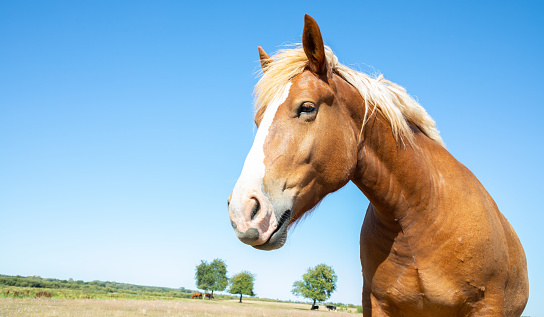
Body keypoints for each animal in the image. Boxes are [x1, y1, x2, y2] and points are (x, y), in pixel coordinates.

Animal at [227, 13, 528, 314]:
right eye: (258, 120)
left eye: (307, 107)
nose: (242, 212)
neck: (422, 211)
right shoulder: (375, 304)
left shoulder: (486, 306)